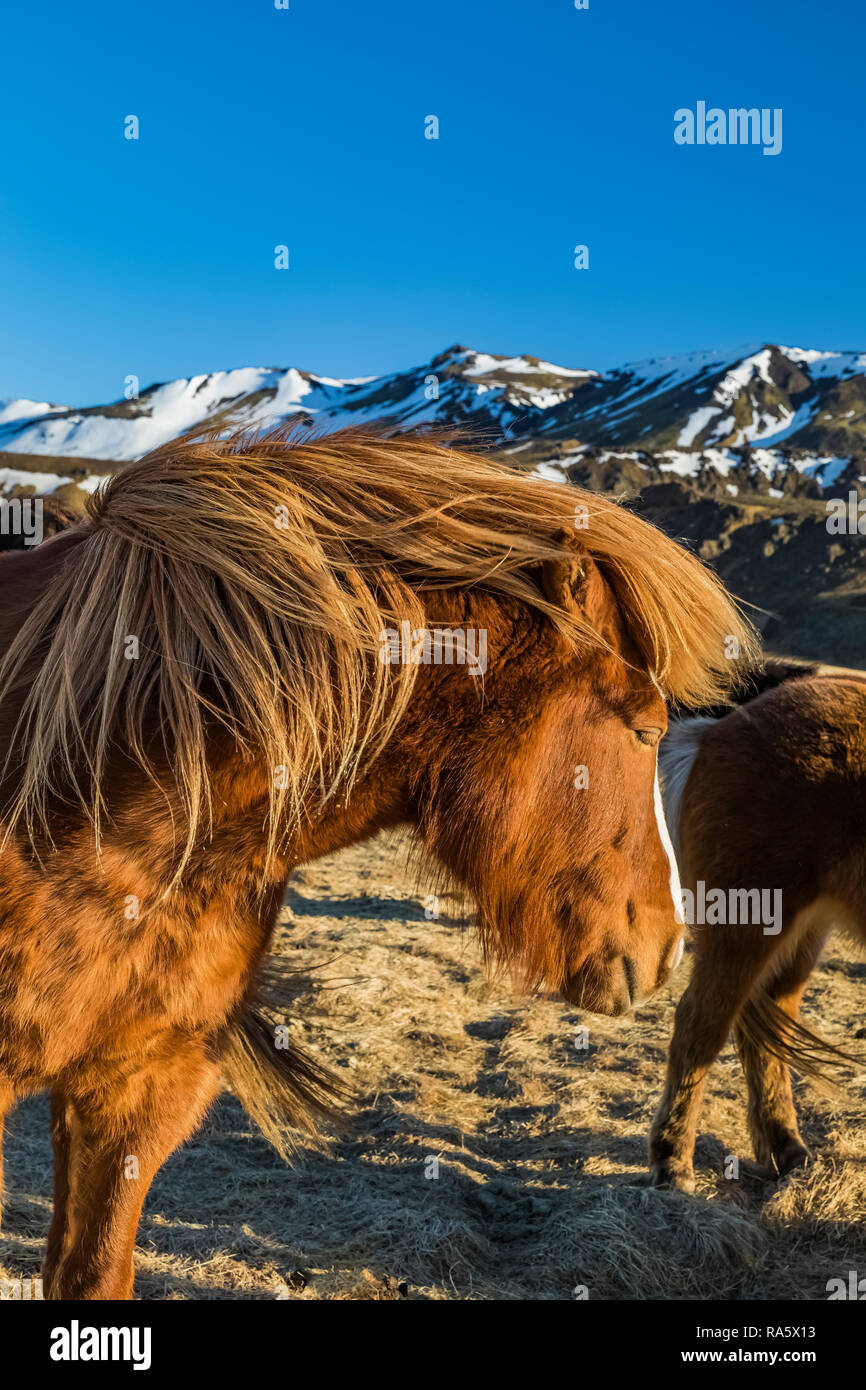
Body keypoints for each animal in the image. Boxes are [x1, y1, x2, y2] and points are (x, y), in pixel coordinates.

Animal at [650, 667, 866, 1189]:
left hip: (801, 934)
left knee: (767, 1028)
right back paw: (673, 1164)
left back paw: (787, 1151)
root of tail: (719, 727)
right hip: (749, 922)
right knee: (700, 1026)